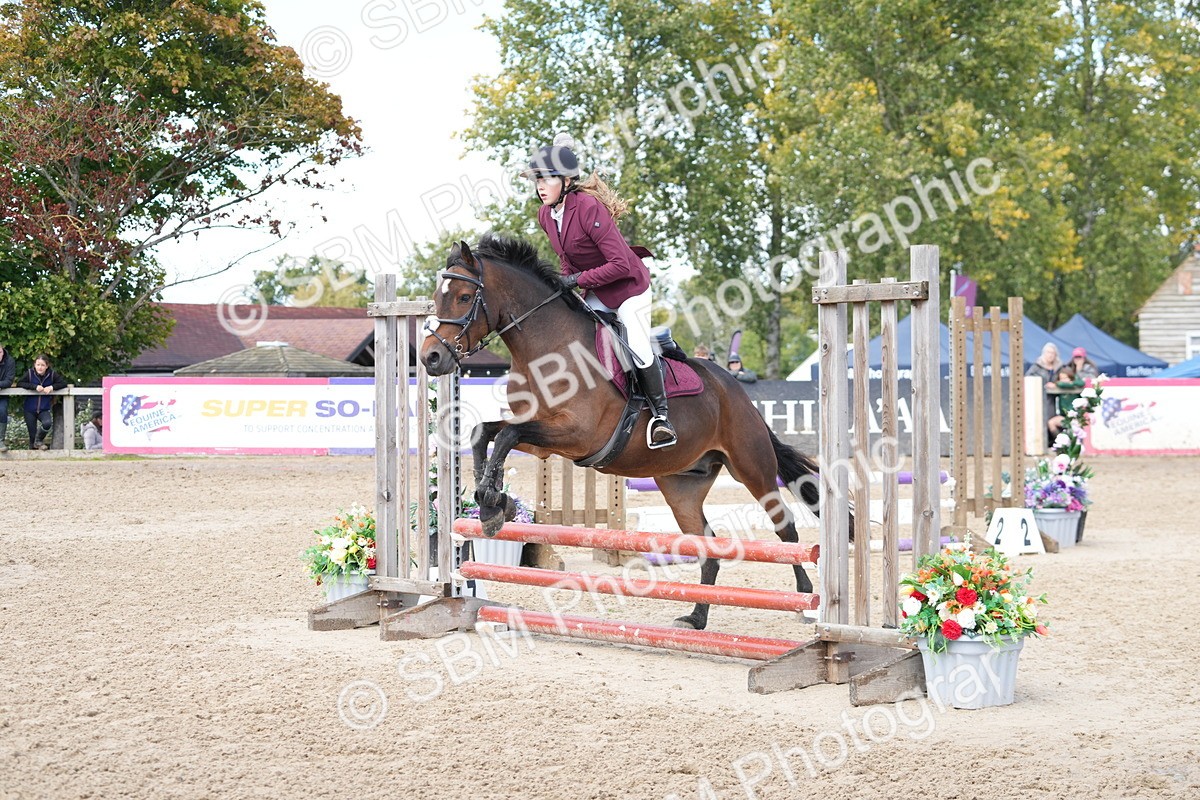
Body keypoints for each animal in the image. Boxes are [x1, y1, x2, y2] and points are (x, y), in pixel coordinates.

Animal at [420, 232, 831, 631]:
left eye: (463, 296)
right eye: (438, 297)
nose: (430, 358)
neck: (548, 348)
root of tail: (736, 389)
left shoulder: (577, 435)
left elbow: (504, 437)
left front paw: (492, 500)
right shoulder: (540, 440)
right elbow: (484, 432)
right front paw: (490, 501)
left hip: (751, 465)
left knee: (786, 529)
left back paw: (806, 603)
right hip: (681, 485)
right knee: (707, 547)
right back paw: (696, 618)